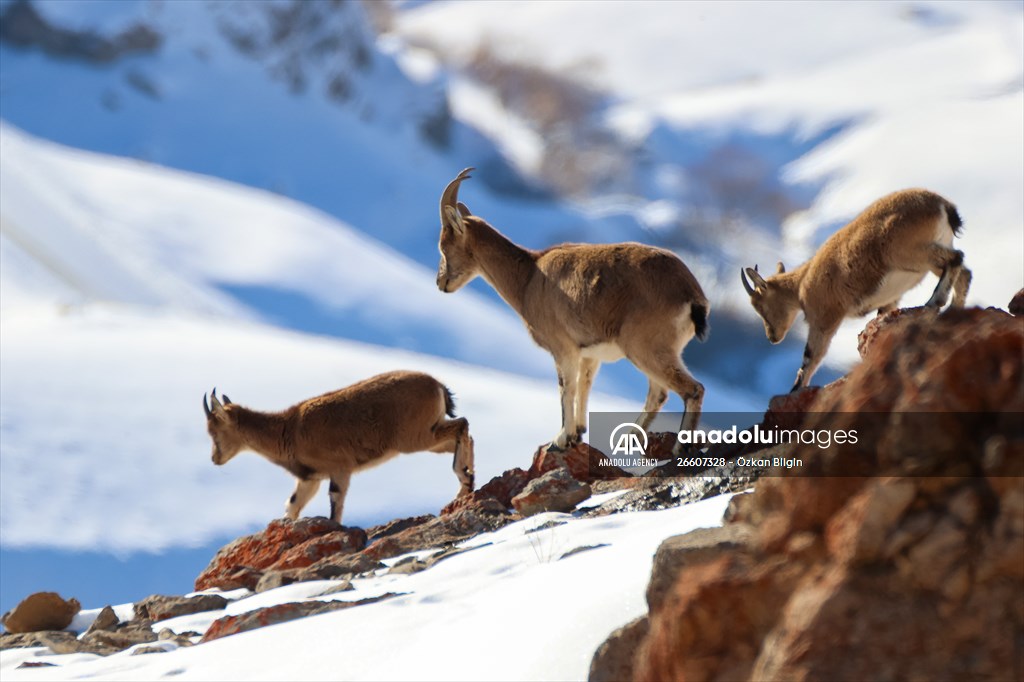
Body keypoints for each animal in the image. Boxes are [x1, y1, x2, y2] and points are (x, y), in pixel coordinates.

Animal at [203, 371, 474, 523]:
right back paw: (467, 483)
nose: (215, 459)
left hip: (416, 437)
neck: (289, 430)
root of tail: (438, 385)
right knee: (464, 435)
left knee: (462, 425)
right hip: (429, 434)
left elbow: (335, 499)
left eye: (213, 431)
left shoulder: (339, 468)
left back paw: (464, 479)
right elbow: (292, 504)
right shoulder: (310, 478)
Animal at [436, 167, 710, 453]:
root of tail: (692, 294)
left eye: (443, 246)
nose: (441, 282)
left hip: (645, 348)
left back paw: (679, 447)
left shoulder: (563, 348)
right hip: (657, 351)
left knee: (691, 389)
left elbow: (565, 388)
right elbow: (584, 385)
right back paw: (629, 438)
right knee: (659, 393)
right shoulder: (589, 354)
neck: (529, 278)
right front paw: (577, 433)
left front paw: (560, 438)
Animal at [741, 188, 971, 392]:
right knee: (964, 273)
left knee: (956, 258)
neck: (802, 284)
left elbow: (811, 355)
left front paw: (795, 389)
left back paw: (935, 301)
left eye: (760, 307)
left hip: (909, 252)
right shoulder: (889, 301)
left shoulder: (825, 317)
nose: (772, 337)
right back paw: (954, 310)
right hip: (930, 254)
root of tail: (943, 205)